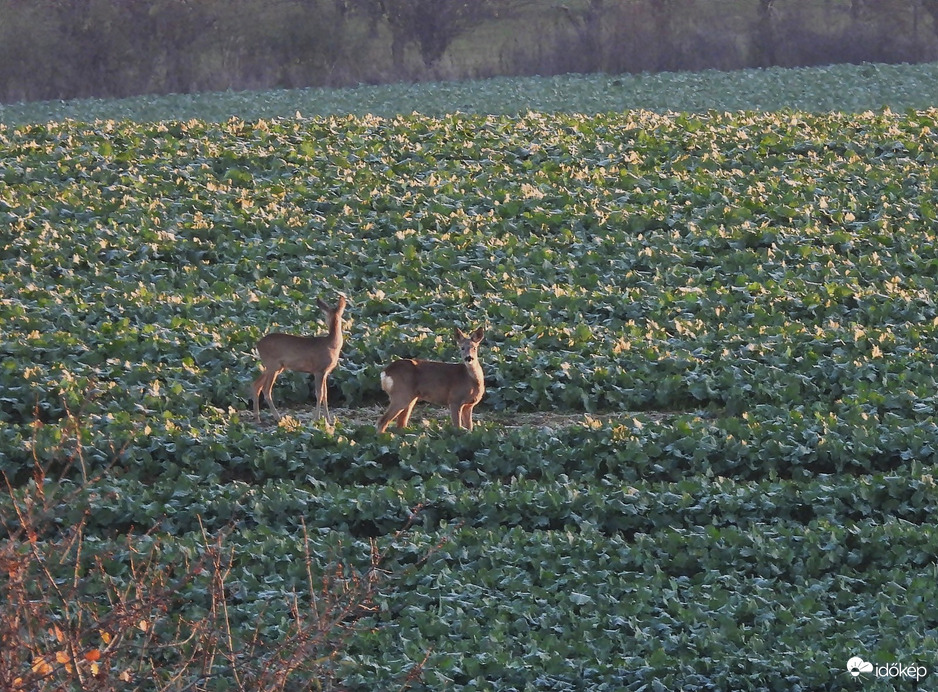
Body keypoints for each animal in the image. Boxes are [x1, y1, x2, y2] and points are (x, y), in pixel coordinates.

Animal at [250, 294, 346, 424]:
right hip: (272, 365)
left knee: (256, 384)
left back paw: (258, 418)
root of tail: (258, 344)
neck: (331, 345)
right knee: (266, 389)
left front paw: (329, 420)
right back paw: (278, 417)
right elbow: (319, 394)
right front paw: (316, 419)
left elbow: (325, 394)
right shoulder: (318, 370)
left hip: (274, 367)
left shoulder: (326, 372)